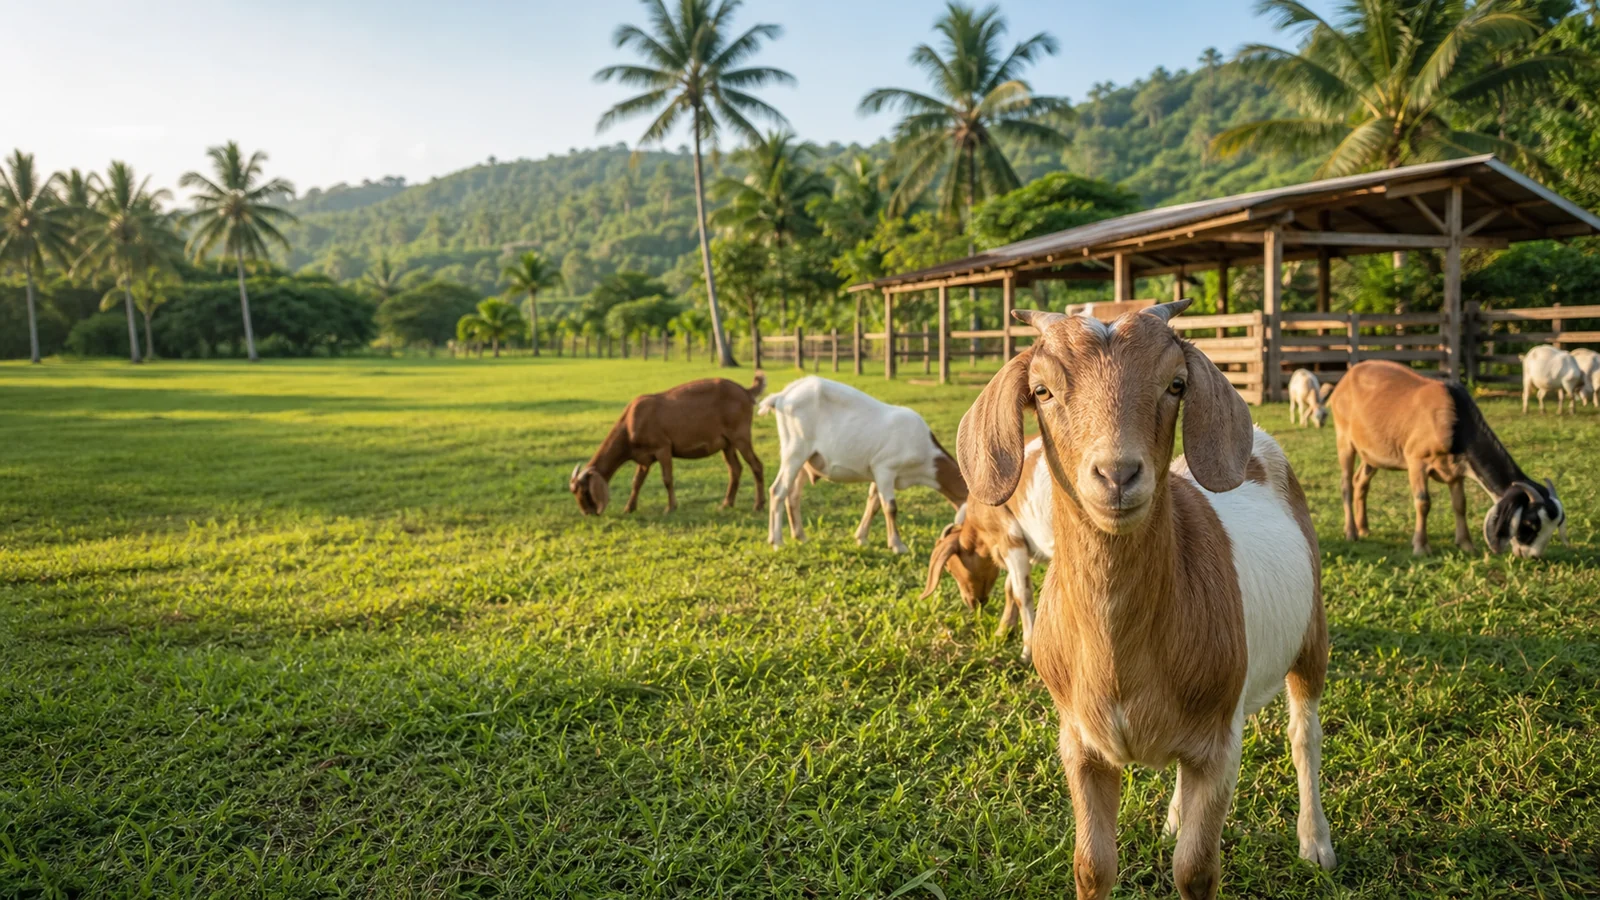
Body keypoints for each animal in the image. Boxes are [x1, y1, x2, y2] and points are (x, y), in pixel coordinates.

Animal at [570, 374, 766, 515]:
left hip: (740, 435)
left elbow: (667, 478)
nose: (587, 513)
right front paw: (629, 508)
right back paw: (726, 504)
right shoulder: (644, 458)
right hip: (727, 443)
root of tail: (746, 391)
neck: (629, 424)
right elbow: (637, 482)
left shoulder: (662, 447)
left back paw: (758, 505)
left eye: (585, 491)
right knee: (735, 468)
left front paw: (670, 507)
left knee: (756, 465)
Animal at [759, 376, 966, 553]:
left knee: (793, 495)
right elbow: (890, 507)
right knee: (778, 491)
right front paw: (898, 545)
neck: (926, 455)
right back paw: (777, 541)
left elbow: (873, 503)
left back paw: (800, 536)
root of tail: (782, 396)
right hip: (795, 449)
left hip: (807, 459)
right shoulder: (885, 468)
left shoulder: (876, 472)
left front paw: (861, 538)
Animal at [921, 436, 1053, 661]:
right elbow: (1010, 588)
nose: (972, 603)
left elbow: (1022, 593)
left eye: (949, 568)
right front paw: (1003, 631)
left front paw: (1027, 651)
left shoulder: (1010, 539)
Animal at [959, 300, 1334, 899]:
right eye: (1041, 390)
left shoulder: (1219, 745)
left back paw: (1315, 842)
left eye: (1176, 384)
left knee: (1305, 735)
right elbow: (1093, 867)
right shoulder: (1079, 741)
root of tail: (1260, 444)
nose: (1117, 474)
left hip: (1311, 636)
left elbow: (1196, 871)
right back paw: (1176, 817)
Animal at [1329, 359, 1566, 557]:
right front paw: (1421, 547)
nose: (1532, 556)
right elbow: (1423, 503)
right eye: (1530, 524)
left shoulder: (1456, 469)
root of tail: (1346, 378)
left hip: (1372, 452)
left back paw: (1364, 528)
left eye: (1554, 526)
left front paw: (1466, 544)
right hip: (1344, 439)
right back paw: (1351, 532)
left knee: (1361, 481)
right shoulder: (1416, 459)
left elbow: (1460, 504)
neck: (1454, 422)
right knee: (1346, 484)